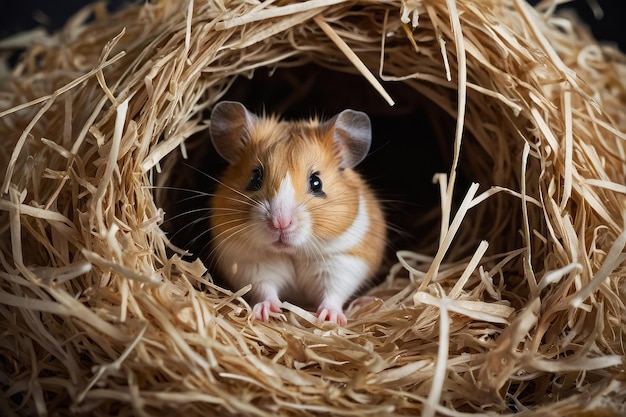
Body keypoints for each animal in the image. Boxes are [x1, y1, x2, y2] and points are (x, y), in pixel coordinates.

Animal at [208, 101, 386, 324]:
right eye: (255, 178)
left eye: (317, 182)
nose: (280, 223)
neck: (293, 252)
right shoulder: (249, 263)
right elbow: (265, 288)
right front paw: (266, 312)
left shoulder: (343, 261)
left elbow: (333, 294)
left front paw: (328, 318)